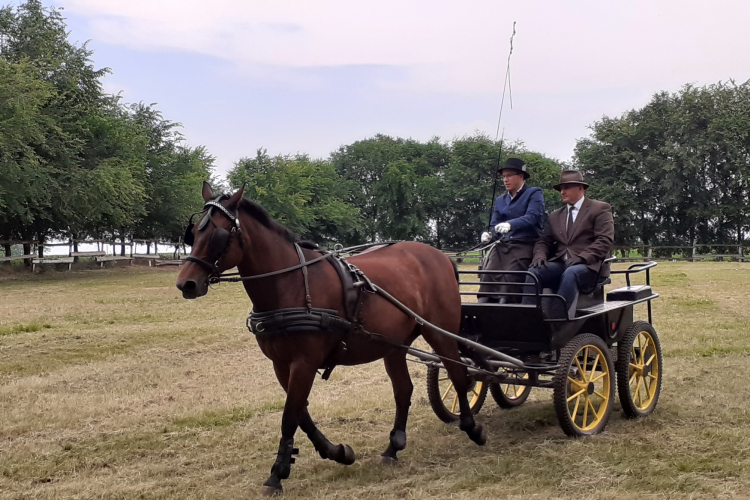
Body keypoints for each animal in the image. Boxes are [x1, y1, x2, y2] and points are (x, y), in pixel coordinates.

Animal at [176, 184, 488, 496]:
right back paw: (393, 447)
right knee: (404, 389)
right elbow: (300, 413)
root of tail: (441, 256)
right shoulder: (281, 364)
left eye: (217, 234)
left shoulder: (303, 362)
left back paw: (472, 428)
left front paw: (276, 474)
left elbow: (290, 415)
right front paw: (336, 452)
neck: (290, 284)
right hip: (393, 344)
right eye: (193, 234)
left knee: (459, 374)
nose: (186, 284)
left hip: (439, 331)